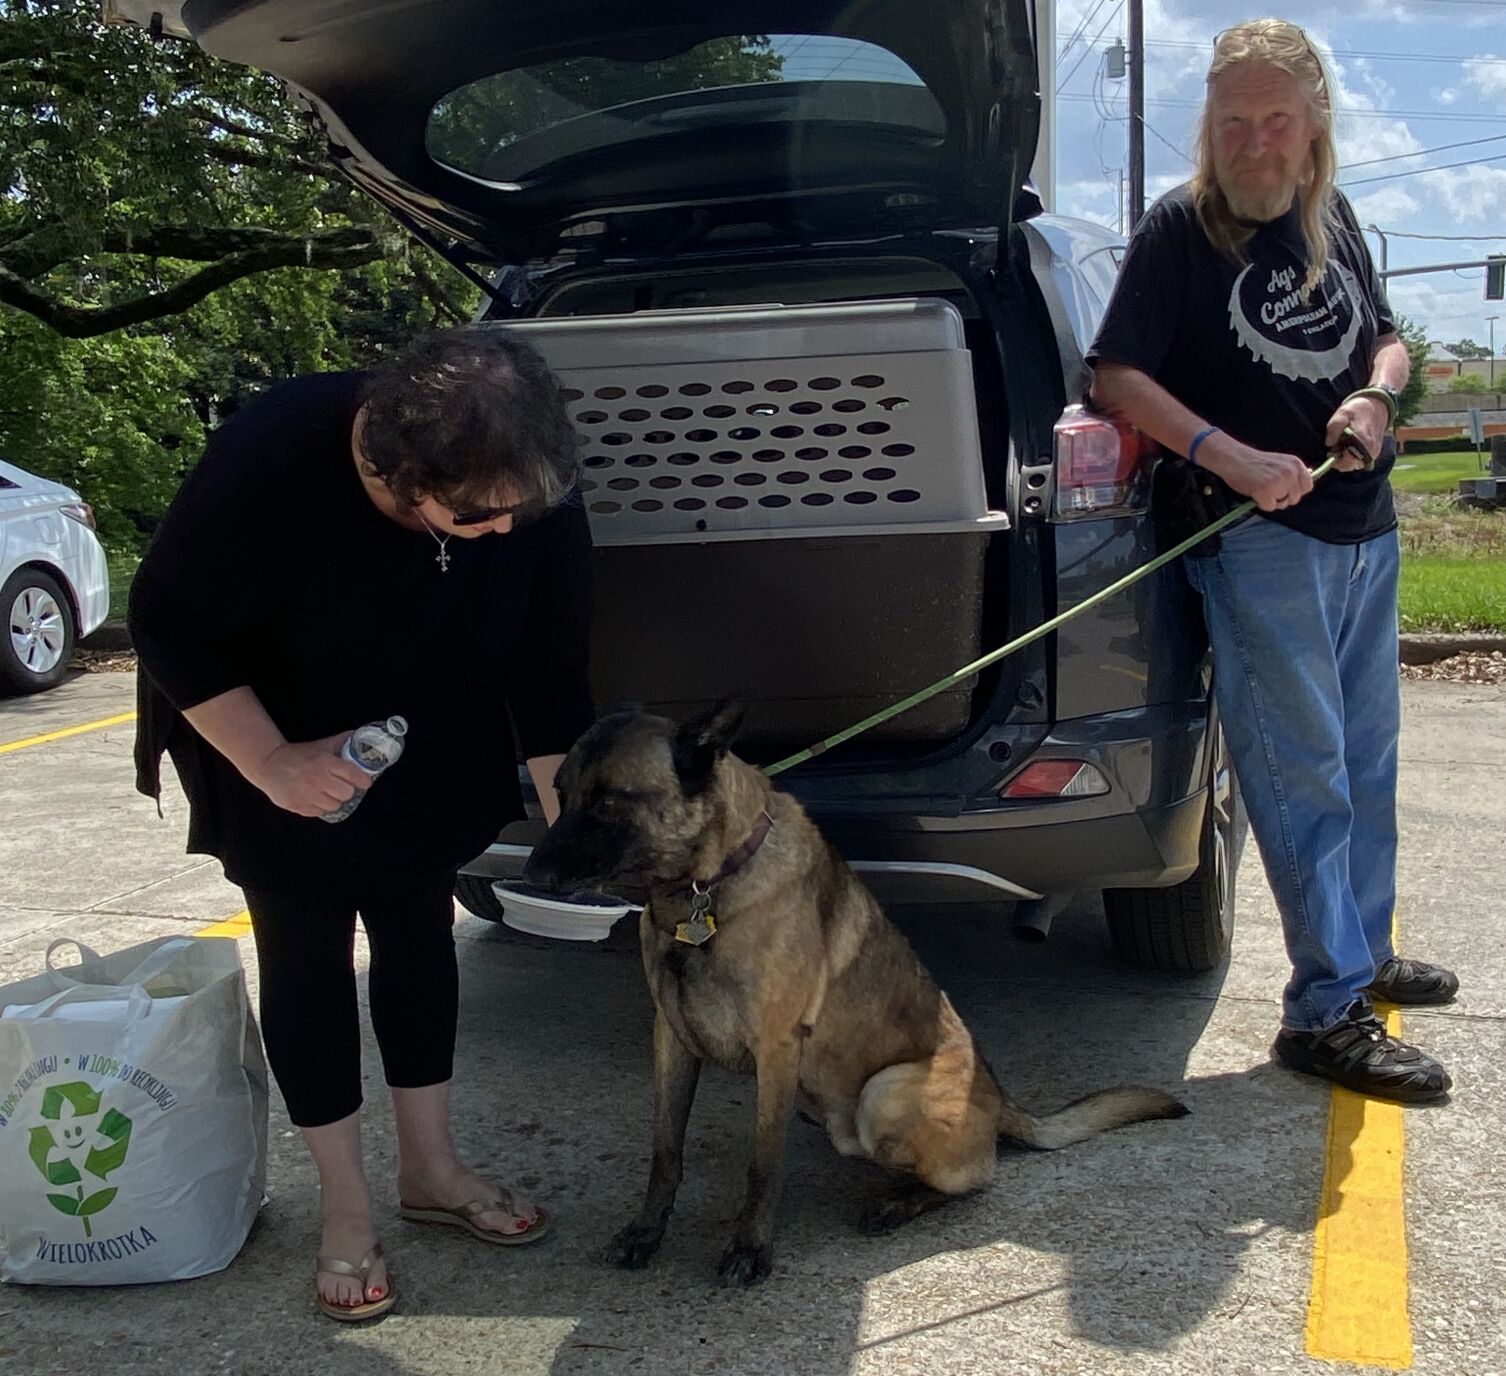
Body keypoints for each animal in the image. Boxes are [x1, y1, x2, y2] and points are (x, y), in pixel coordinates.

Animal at [527, 701, 1186, 1282]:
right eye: (561, 790)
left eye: (609, 799)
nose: (533, 872)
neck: (703, 887)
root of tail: (1002, 1102)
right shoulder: (670, 1038)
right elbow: (665, 1151)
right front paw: (645, 1233)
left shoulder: (776, 1050)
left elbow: (763, 1165)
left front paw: (751, 1248)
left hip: (883, 1094)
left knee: (975, 1178)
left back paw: (900, 1201)